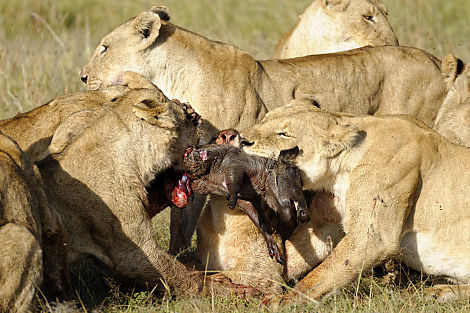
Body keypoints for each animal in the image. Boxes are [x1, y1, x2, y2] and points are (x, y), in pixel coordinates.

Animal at [241, 99, 470, 302]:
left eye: (284, 134)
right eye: (265, 118)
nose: (241, 139)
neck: (340, 171)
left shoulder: (374, 238)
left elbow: (325, 272)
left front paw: (283, 301)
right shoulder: (326, 225)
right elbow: (295, 254)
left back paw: (438, 292)